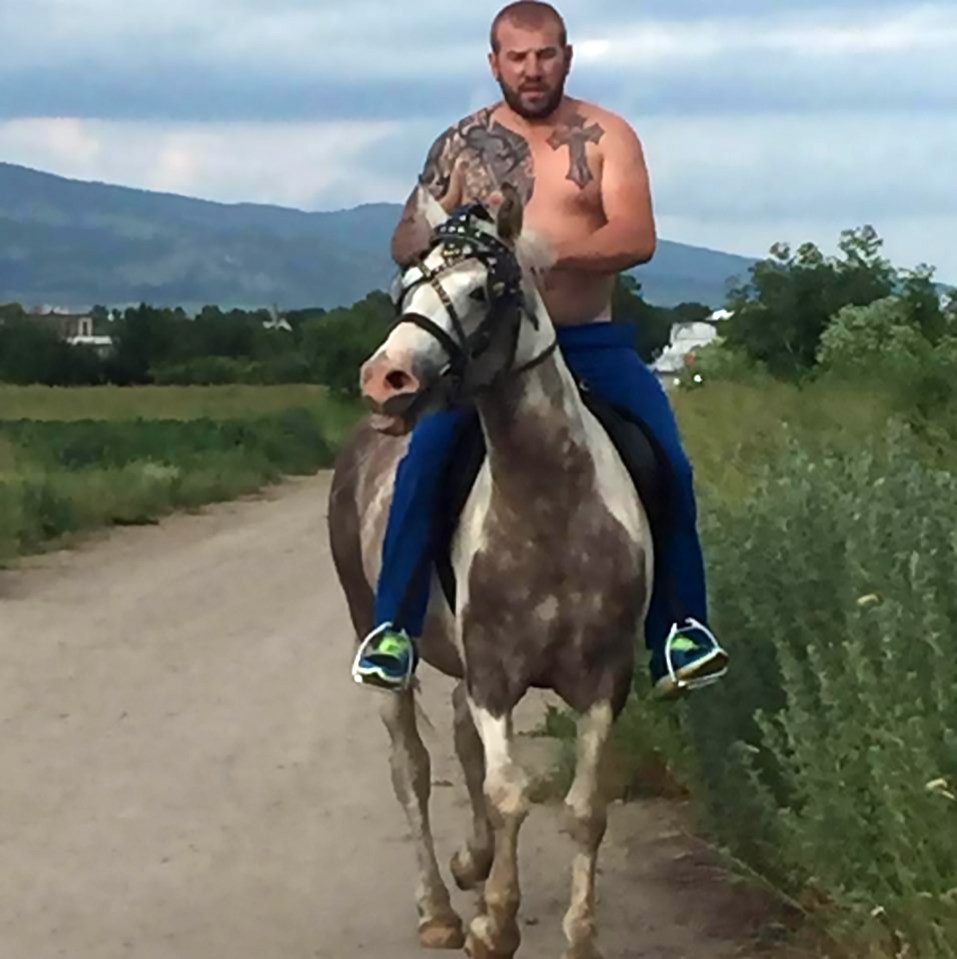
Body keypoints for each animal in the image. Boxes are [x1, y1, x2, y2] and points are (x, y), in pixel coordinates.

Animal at [324, 182, 652, 959]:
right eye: (405, 287)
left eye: (481, 291)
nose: (384, 380)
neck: (549, 506)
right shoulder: (496, 674)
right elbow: (511, 794)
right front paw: (494, 922)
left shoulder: (604, 677)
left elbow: (584, 807)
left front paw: (578, 935)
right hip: (378, 636)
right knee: (411, 771)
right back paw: (440, 910)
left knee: (460, 741)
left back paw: (471, 861)